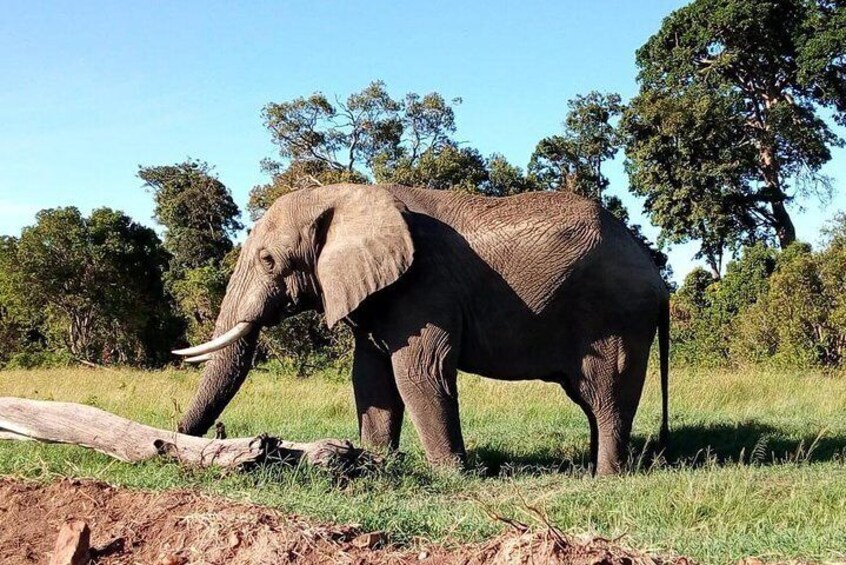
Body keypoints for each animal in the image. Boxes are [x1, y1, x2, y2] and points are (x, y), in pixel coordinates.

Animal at [173, 183, 670, 476]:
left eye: (268, 260)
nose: (172, 441)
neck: (347, 194)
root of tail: (656, 274)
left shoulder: (425, 288)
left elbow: (418, 374)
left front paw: (451, 475)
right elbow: (370, 378)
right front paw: (376, 461)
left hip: (617, 319)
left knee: (606, 395)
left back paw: (605, 477)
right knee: (590, 400)